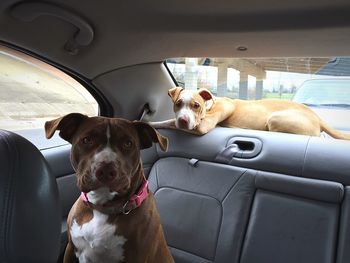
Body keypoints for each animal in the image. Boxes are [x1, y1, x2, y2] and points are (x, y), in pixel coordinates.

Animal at [152, 86, 350, 140]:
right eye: (178, 104)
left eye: (196, 105)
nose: (184, 121)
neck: (209, 107)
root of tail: (318, 117)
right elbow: (168, 121)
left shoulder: (202, 126)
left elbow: (170, 122)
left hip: (275, 118)